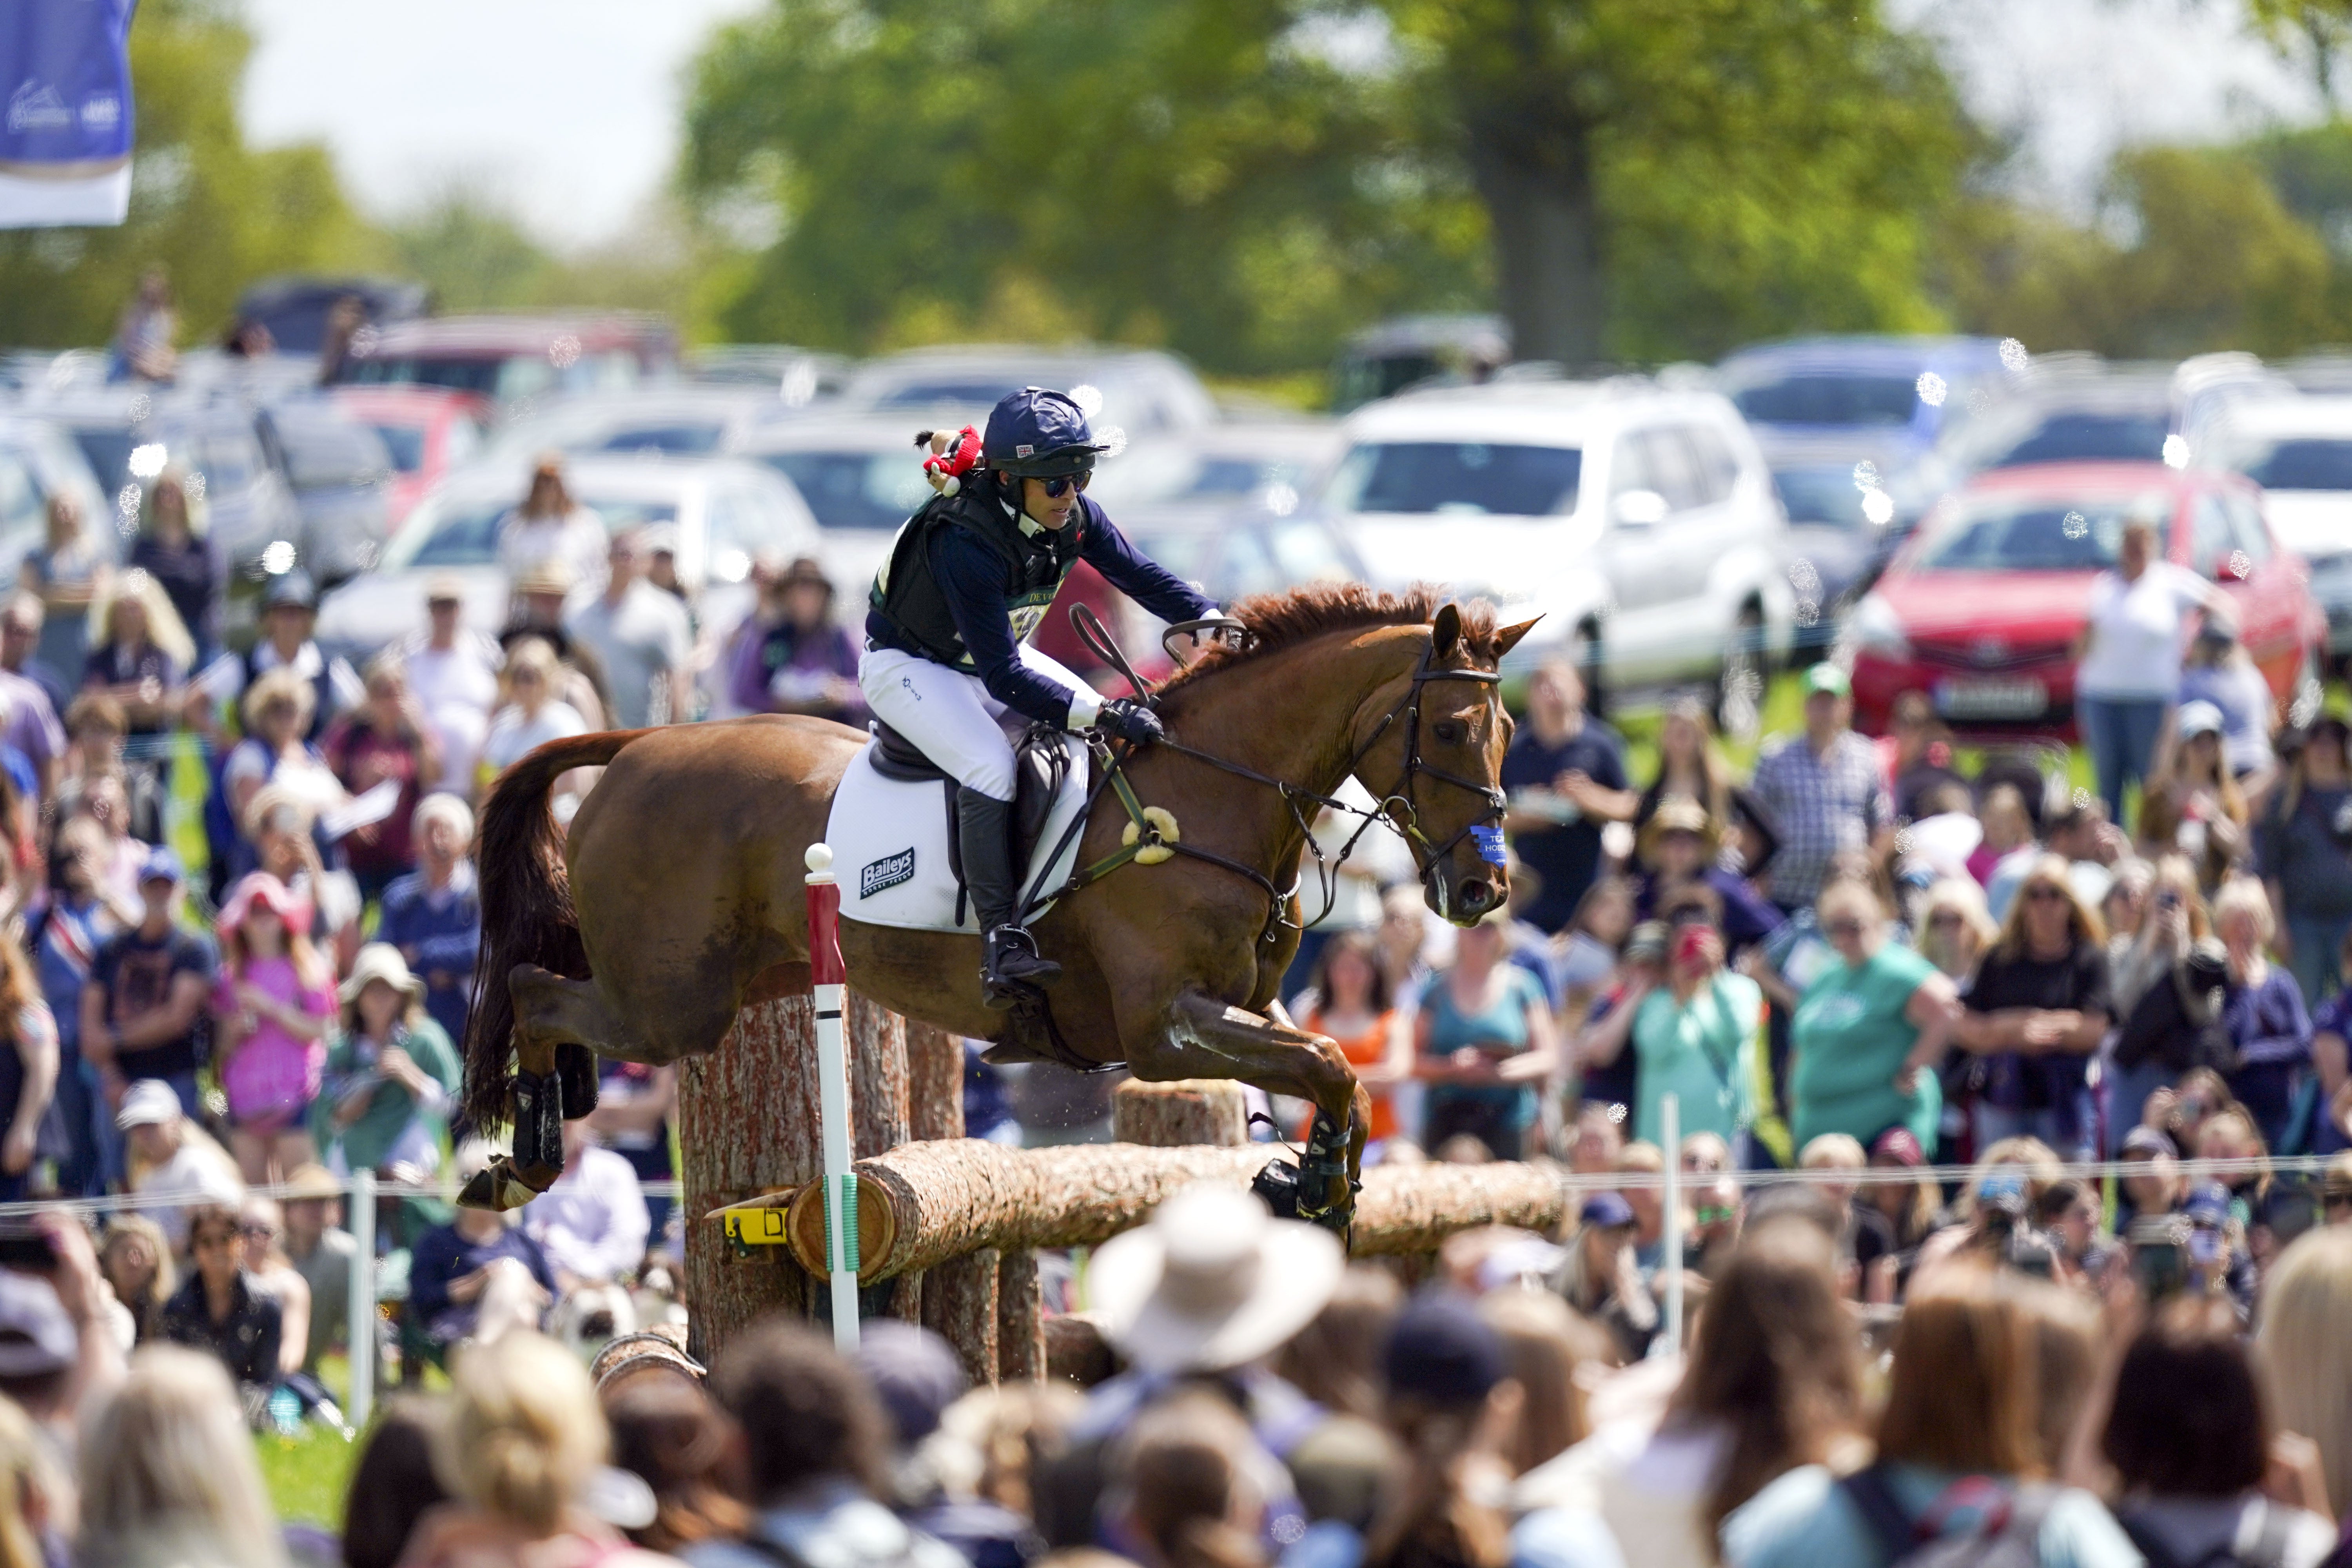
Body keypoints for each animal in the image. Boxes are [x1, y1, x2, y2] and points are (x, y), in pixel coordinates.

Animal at [461, 588, 1534, 1222]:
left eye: (1512, 732)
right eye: (1449, 727)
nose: (1484, 889)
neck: (1211, 795)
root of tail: (639, 742)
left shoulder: (1247, 1002)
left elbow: (1333, 1066)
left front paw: (1316, 1179)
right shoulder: (1161, 1028)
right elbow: (1322, 1061)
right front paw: (1315, 1184)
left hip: (731, 979)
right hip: (672, 1003)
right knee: (537, 988)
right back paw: (523, 1159)